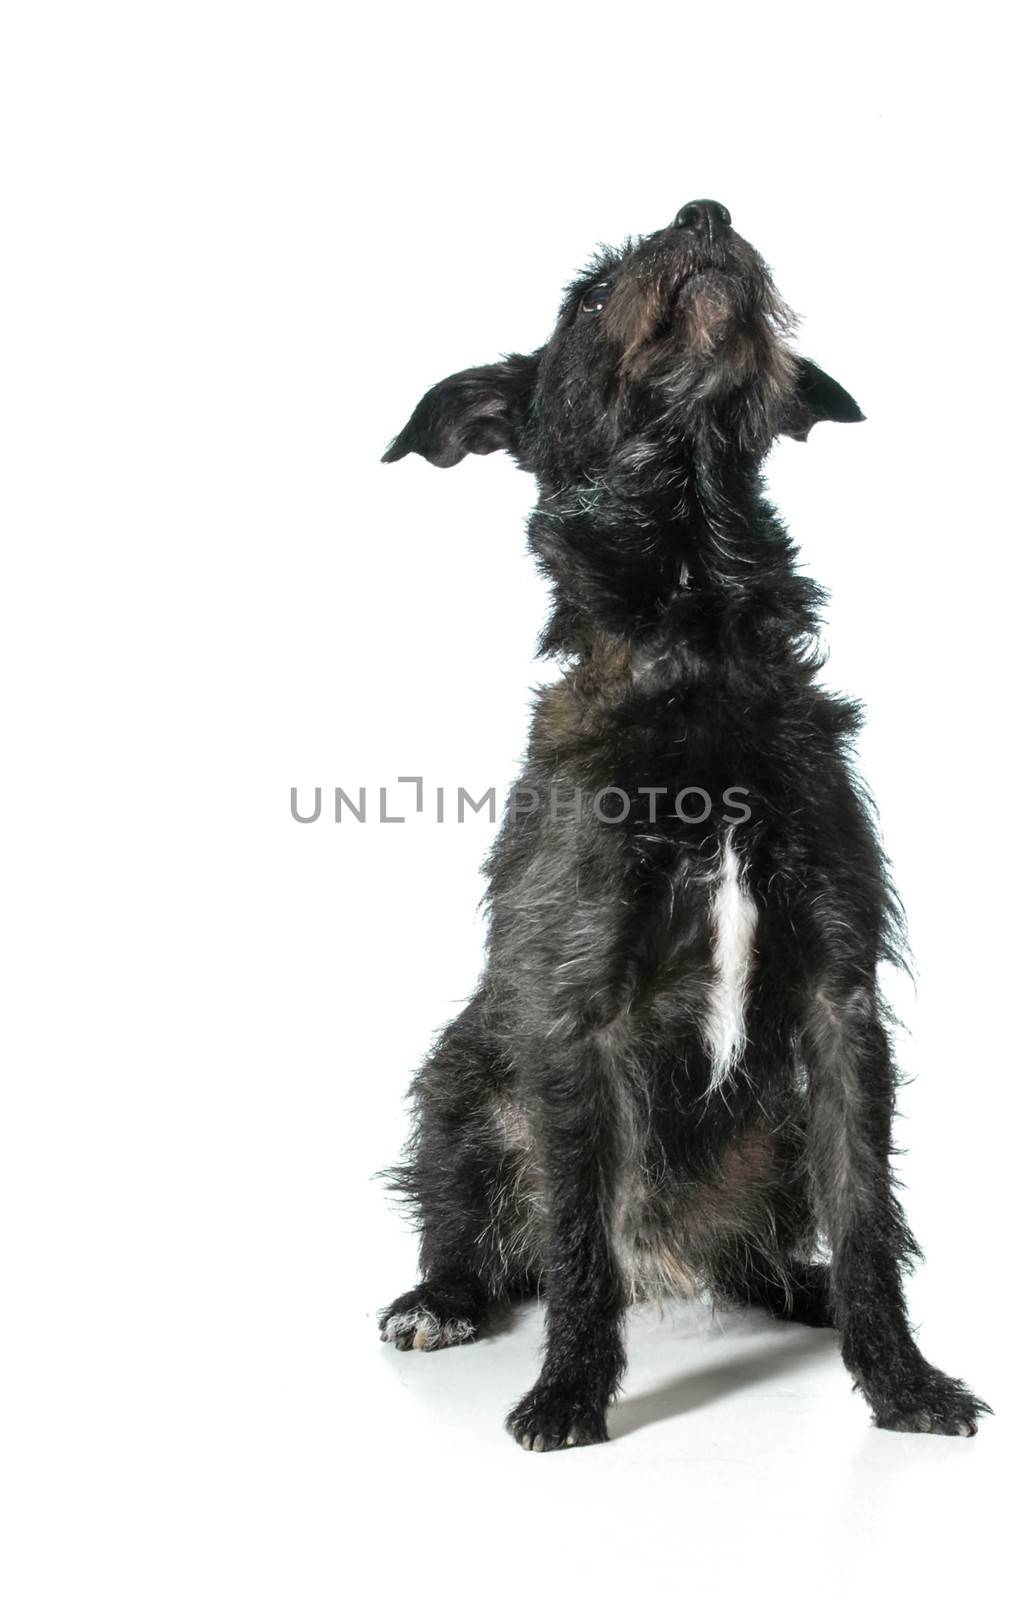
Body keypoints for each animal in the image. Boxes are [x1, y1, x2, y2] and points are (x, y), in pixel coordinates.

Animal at [378, 200, 985, 1452]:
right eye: (587, 297)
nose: (704, 213)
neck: (696, 646)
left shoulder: (837, 1008)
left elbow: (869, 1216)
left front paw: (900, 1380)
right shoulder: (580, 1017)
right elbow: (577, 1243)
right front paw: (567, 1392)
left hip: (775, 1136)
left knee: (762, 1247)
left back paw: (795, 1286)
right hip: (457, 1082)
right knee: (481, 1231)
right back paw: (439, 1298)